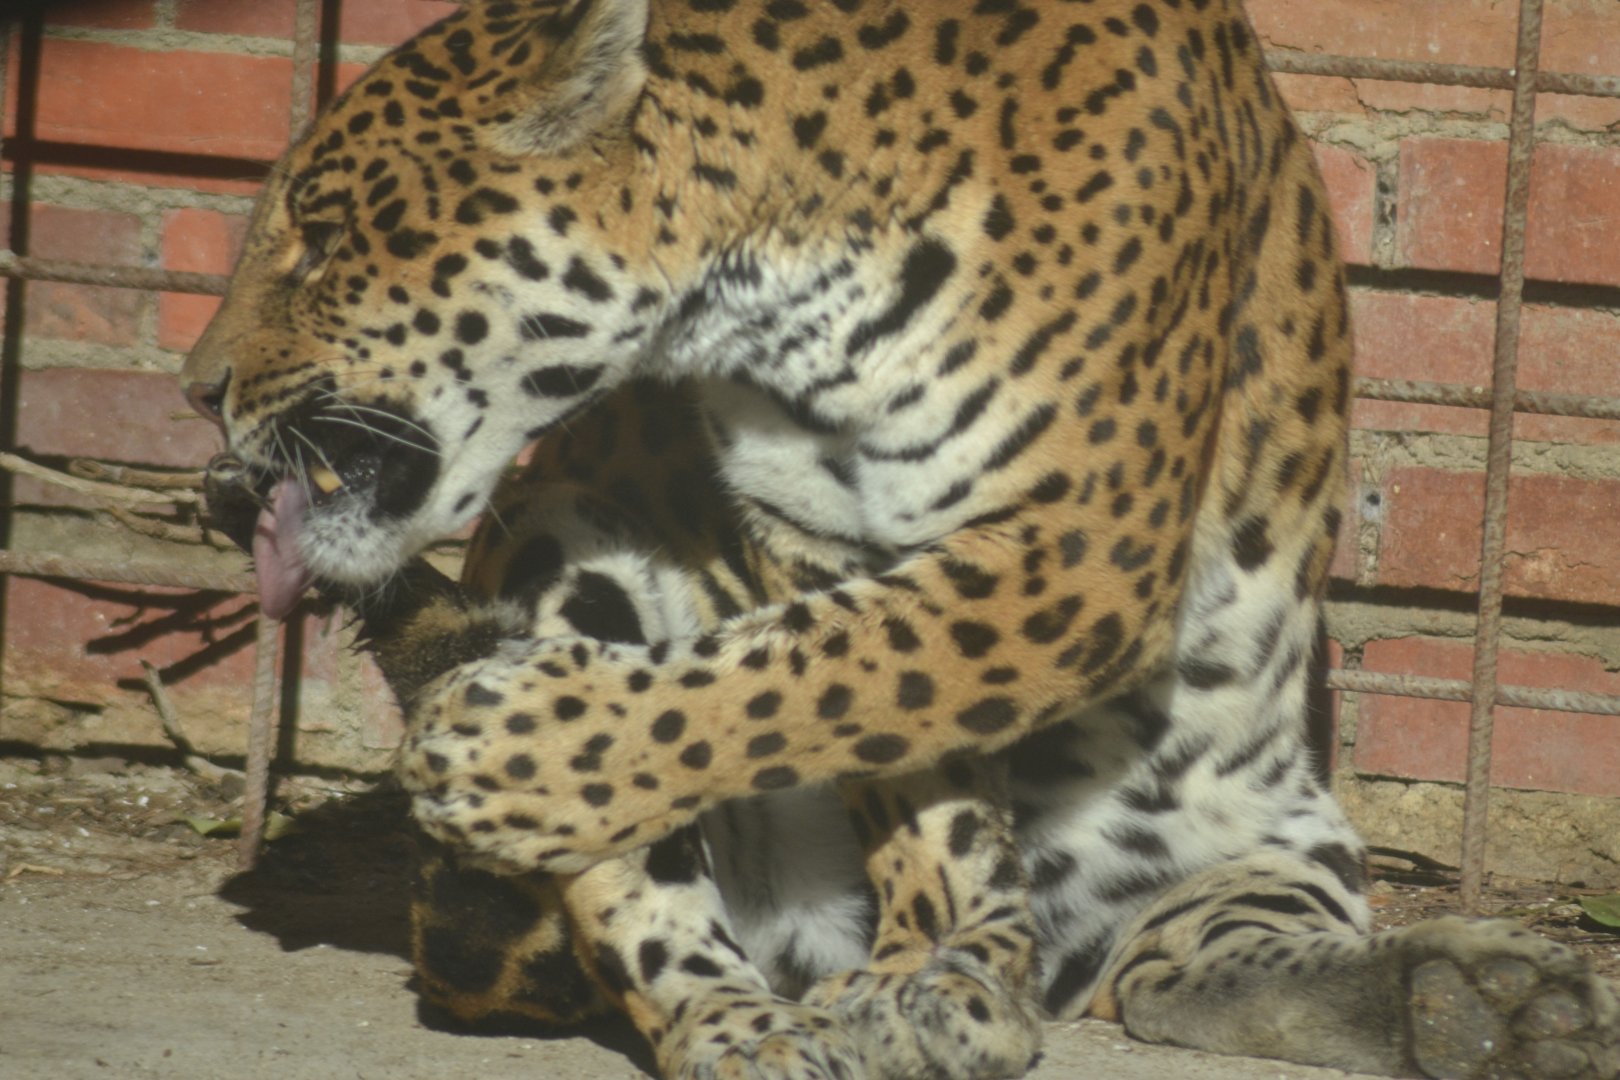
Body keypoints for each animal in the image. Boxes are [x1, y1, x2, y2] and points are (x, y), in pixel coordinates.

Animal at [181, 1, 1620, 1078]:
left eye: (322, 236)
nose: (199, 388)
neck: (771, 247)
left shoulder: (1073, 543)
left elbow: (851, 677)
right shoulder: (820, 532)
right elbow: (840, 707)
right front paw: (934, 972)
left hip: (1271, 841)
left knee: (1184, 962)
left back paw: (1482, 1002)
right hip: (566, 547)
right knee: (649, 911)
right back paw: (756, 1031)